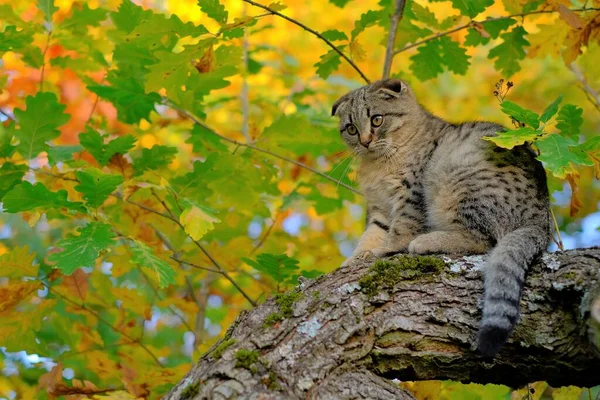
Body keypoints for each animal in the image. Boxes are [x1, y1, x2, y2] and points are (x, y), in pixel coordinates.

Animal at [330, 78, 552, 356]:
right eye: (351, 128)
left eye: (377, 119)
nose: (365, 141)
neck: (379, 163)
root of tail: (541, 222)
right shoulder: (380, 208)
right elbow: (372, 234)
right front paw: (356, 258)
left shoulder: (411, 192)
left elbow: (401, 228)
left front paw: (387, 249)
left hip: (456, 180)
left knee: (483, 240)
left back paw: (425, 242)